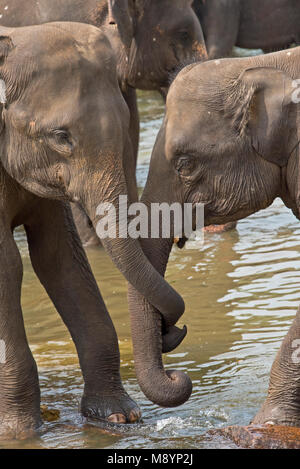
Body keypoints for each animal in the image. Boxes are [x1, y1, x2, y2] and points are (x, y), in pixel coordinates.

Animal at [0, 22, 195, 438]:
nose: (171, 331)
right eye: (61, 136)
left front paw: (119, 417)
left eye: (125, 126)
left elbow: (60, 258)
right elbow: (8, 265)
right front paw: (22, 433)